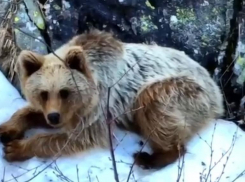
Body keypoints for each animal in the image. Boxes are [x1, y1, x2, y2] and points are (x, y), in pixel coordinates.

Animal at [0, 29, 224, 169]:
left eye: (65, 91)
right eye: (43, 93)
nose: (54, 118)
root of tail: (216, 90)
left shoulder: (98, 106)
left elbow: (81, 137)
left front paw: (16, 148)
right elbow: (31, 112)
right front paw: (7, 130)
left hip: (184, 91)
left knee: (154, 102)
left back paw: (149, 158)